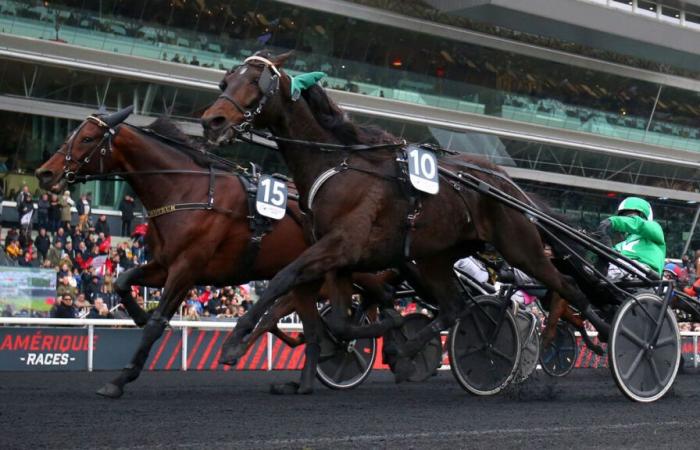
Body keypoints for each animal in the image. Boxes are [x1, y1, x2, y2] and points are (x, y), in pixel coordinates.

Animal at [37, 109, 400, 398]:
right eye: (71, 135)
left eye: (87, 138)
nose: (44, 173)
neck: (189, 191)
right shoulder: (164, 264)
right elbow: (123, 280)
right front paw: (136, 314)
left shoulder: (187, 268)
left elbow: (156, 323)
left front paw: (121, 378)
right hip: (306, 279)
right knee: (314, 330)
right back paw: (305, 382)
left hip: (353, 264)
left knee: (381, 299)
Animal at [200, 51, 608, 380]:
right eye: (226, 80)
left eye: (255, 82)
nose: (211, 121)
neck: (338, 165)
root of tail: (507, 182)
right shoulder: (341, 260)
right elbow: (341, 320)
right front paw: (383, 331)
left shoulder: (341, 245)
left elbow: (284, 277)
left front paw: (235, 341)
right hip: (436, 257)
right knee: (455, 306)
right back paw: (409, 349)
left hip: (521, 248)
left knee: (568, 287)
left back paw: (608, 332)